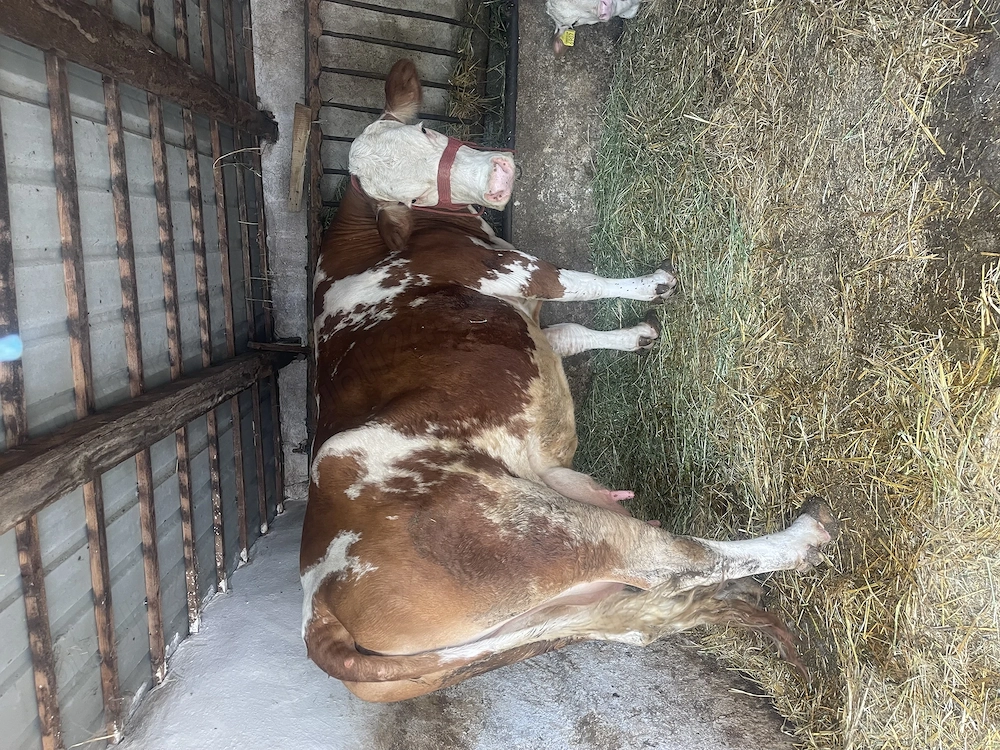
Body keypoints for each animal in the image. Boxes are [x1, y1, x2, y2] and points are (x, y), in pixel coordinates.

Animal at [302, 59, 839, 703]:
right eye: (407, 194)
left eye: (426, 130)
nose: (499, 175)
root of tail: (321, 608)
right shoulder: (515, 272)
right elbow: (578, 283)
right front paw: (652, 287)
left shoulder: (529, 325)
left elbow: (574, 332)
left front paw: (636, 336)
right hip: (540, 530)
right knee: (671, 556)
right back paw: (805, 535)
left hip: (542, 615)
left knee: (636, 618)